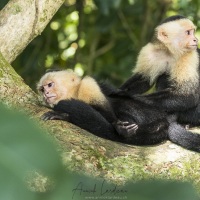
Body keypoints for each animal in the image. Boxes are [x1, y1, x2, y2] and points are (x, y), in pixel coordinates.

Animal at [36, 69, 200, 152]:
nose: (45, 93)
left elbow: (107, 116)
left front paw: (63, 114)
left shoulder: (88, 86)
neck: (74, 93)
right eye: (42, 89)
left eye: (50, 85)